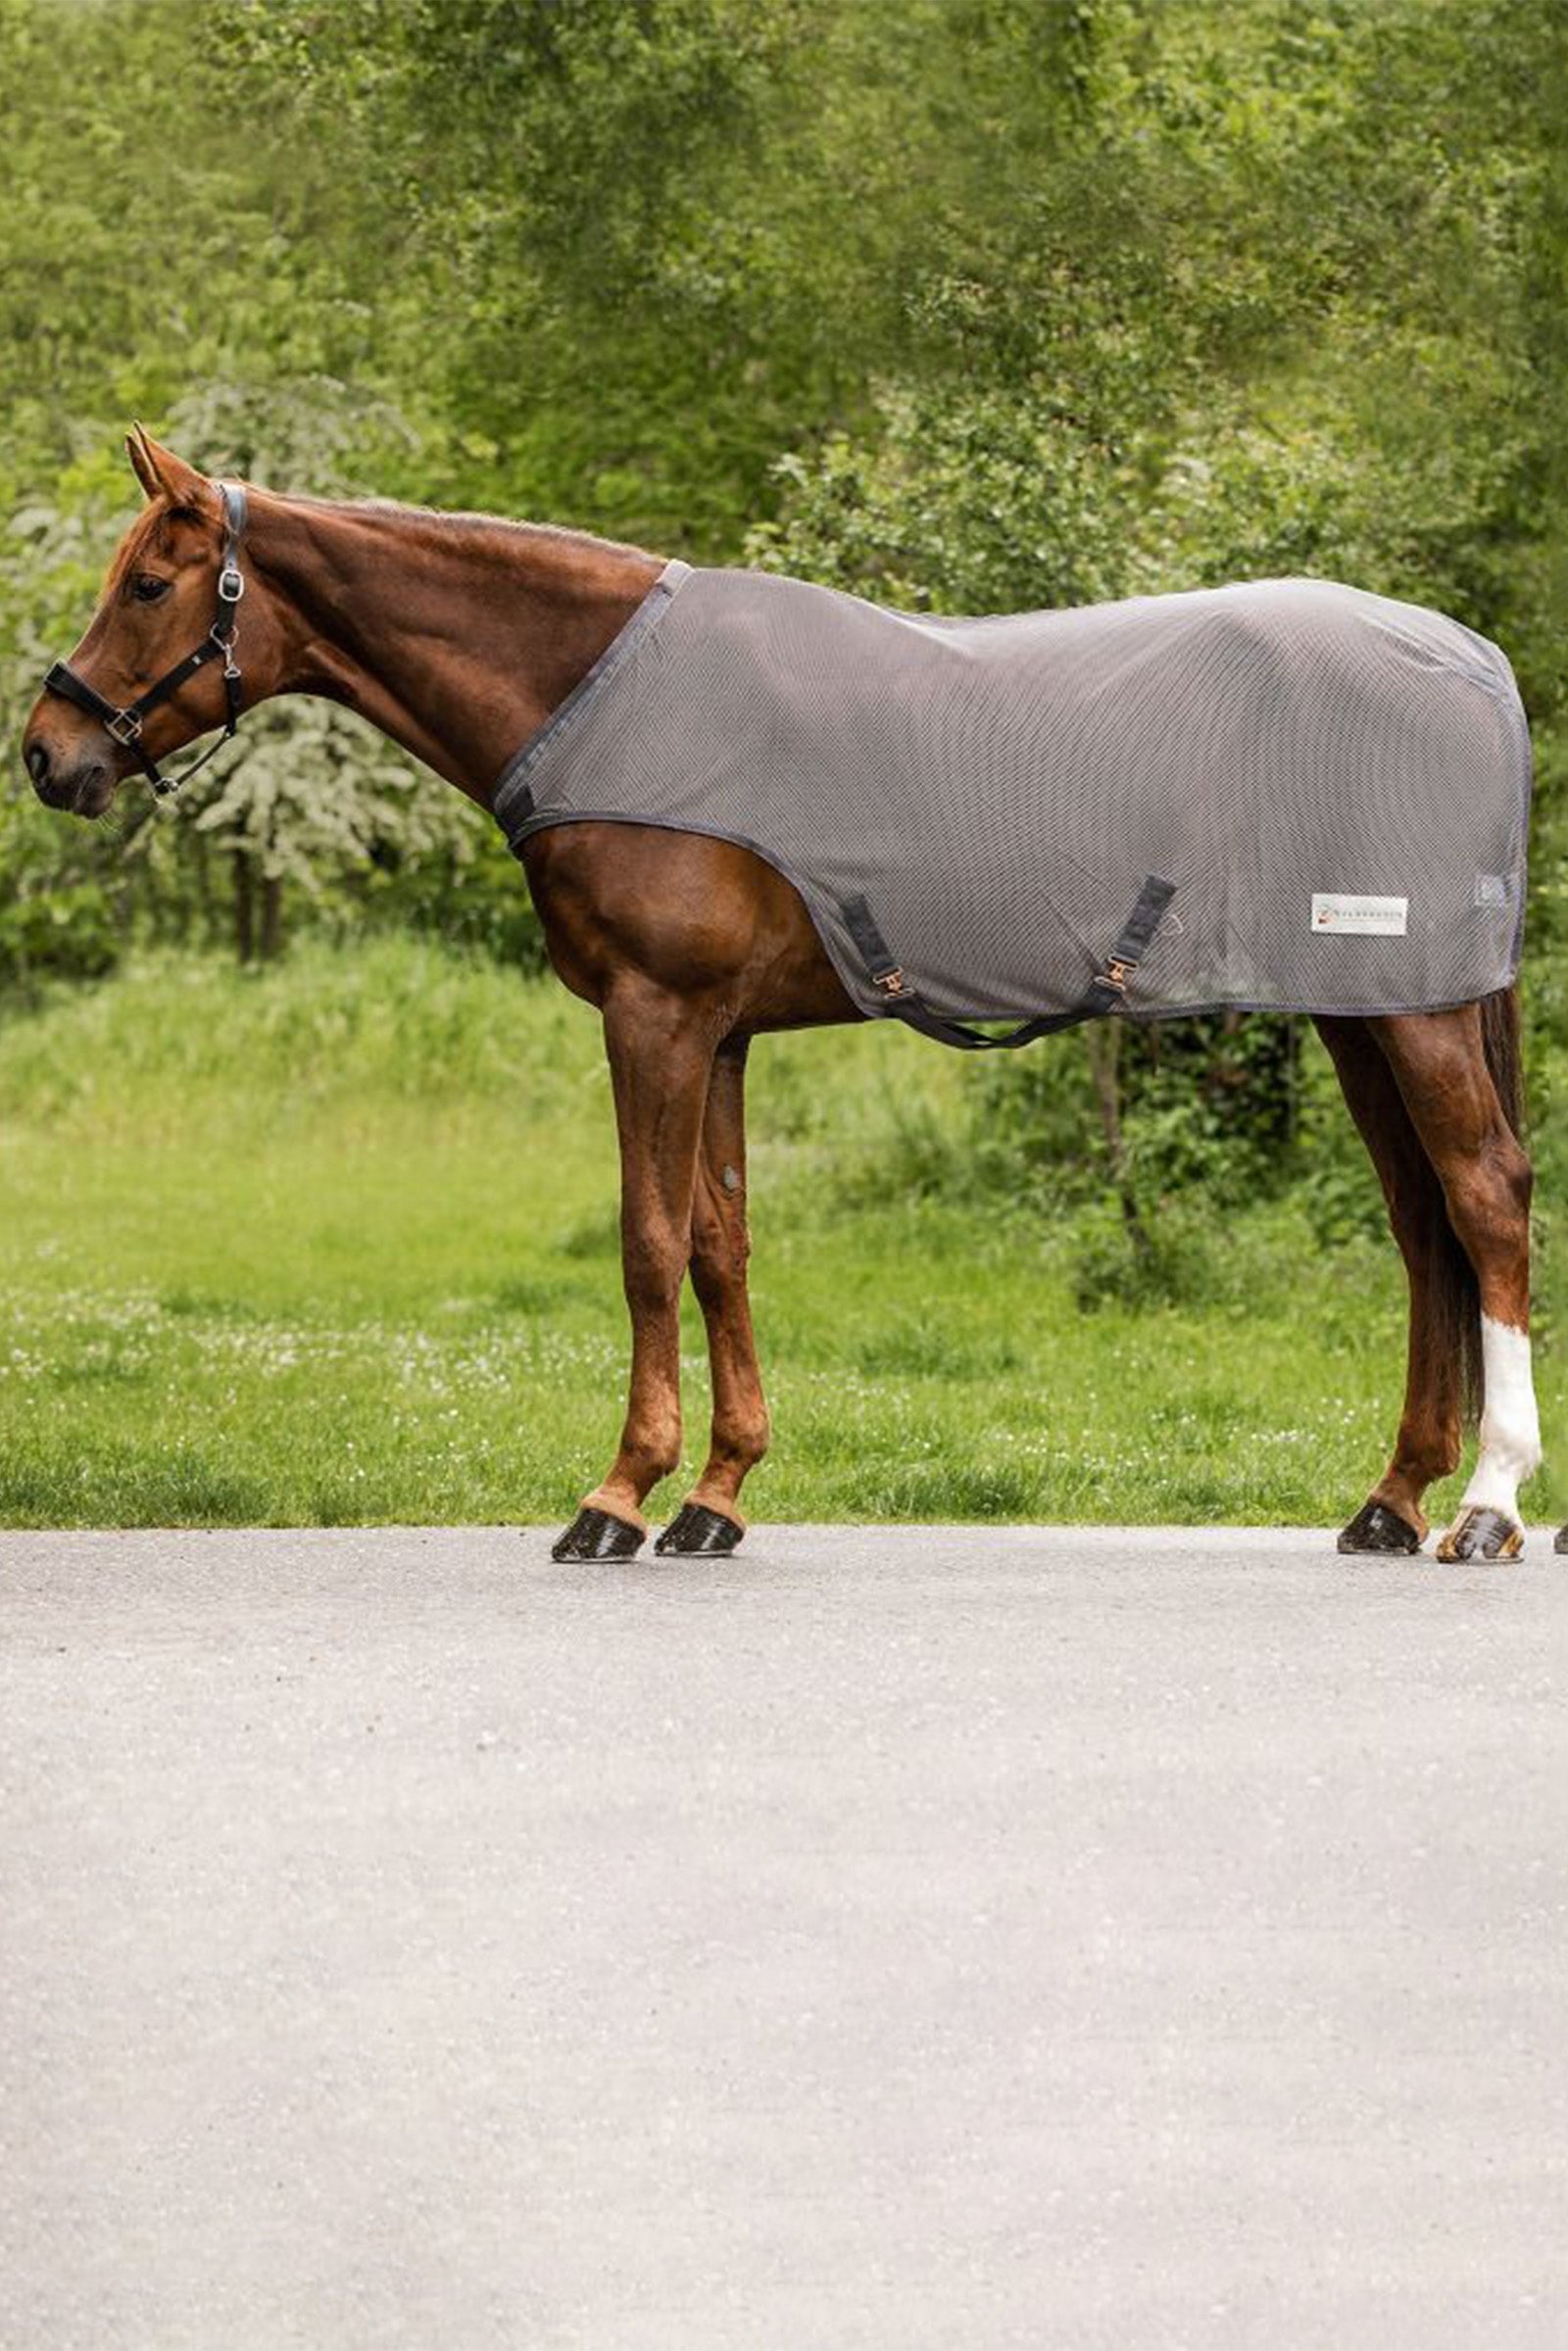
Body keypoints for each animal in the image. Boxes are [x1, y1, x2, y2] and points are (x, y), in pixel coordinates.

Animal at [20, 428, 1550, 1563]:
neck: (596, 698)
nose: (46, 752)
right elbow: (721, 1242)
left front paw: (617, 1494)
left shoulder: (653, 1017)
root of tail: (1474, 660)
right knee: (1423, 1229)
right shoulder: (722, 1032)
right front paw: (716, 1494)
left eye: (148, 583)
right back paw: (1391, 1499)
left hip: (1411, 1012)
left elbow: (646, 1241)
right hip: (1362, 1010)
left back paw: (1485, 1504)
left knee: (1482, 1199)